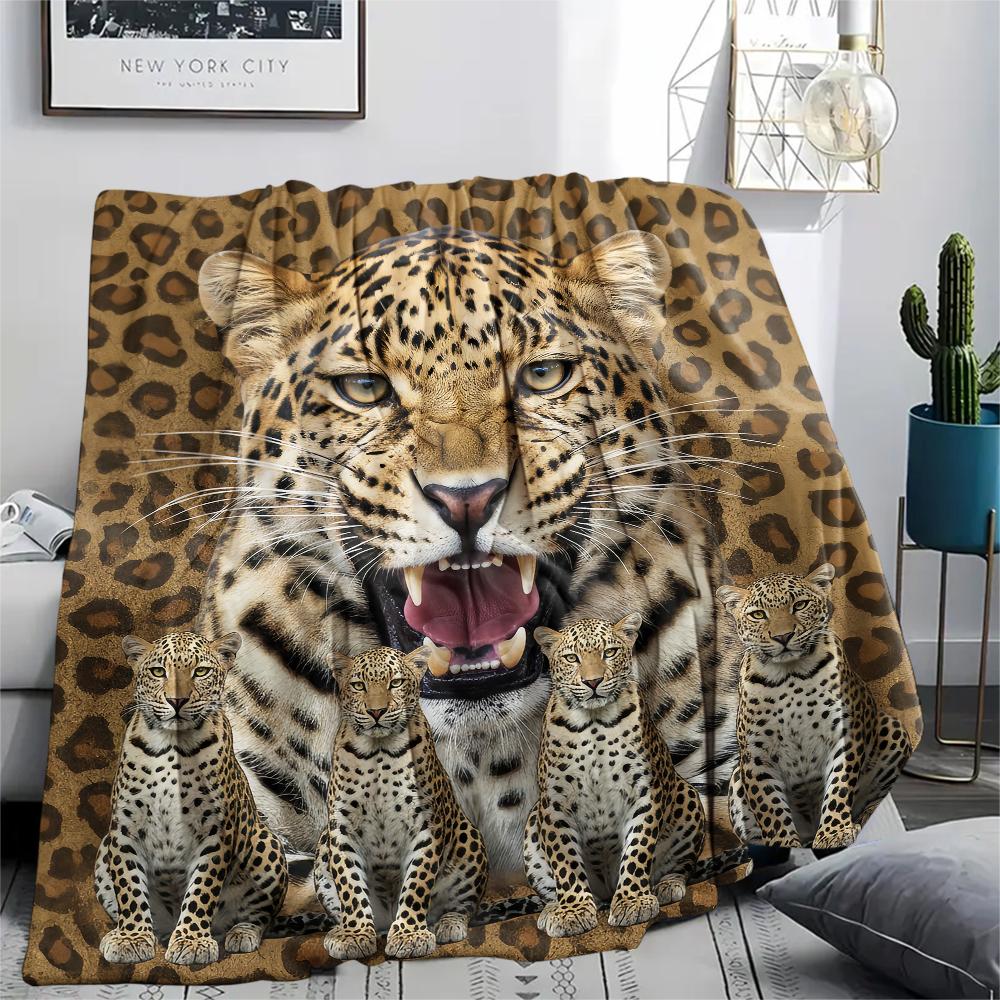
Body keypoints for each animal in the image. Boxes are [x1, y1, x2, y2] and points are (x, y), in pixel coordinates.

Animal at [94, 631, 287, 967]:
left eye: (201, 671)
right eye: (159, 671)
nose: (177, 701)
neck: (172, 745)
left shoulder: (215, 831)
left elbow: (202, 890)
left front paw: (192, 941)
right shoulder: (124, 829)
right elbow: (129, 886)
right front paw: (131, 937)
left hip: (266, 844)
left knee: (261, 915)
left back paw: (241, 933)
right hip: (103, 850)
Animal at [313, 644, 488, 961]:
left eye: (395, 683)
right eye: (359, 685)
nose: (376, 711)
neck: (378, 752)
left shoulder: (427, 824)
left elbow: (417, 882)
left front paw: (409, 935)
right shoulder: (341, 828)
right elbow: (349, 885)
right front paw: (354, 934)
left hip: (470, 841)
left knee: (464, 906)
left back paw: (448, 924)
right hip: (322, 845)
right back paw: (339, 930)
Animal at [524, 615, 707, 938]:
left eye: (609, 652)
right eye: (571, 658)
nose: (593, 681)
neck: (594, 723)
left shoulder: (644, 792)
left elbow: (637, 850)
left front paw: (633, 901)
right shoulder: (554, 803)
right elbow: (565, 861)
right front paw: (572, 911)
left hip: (687, 796)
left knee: (681, 866)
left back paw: (667, 886)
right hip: (534, 820)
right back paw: (552, 909)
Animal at [718, 564, 912, 850]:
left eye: (800, 605)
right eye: (758, 614)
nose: (783, 636)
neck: (790, 675)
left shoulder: (844, 734)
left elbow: (839, 786)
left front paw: (834, 832)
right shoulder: (756, 755)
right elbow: (770, 807)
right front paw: (784, 845)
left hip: (892, 728)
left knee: (874, 802)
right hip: (736, 778)